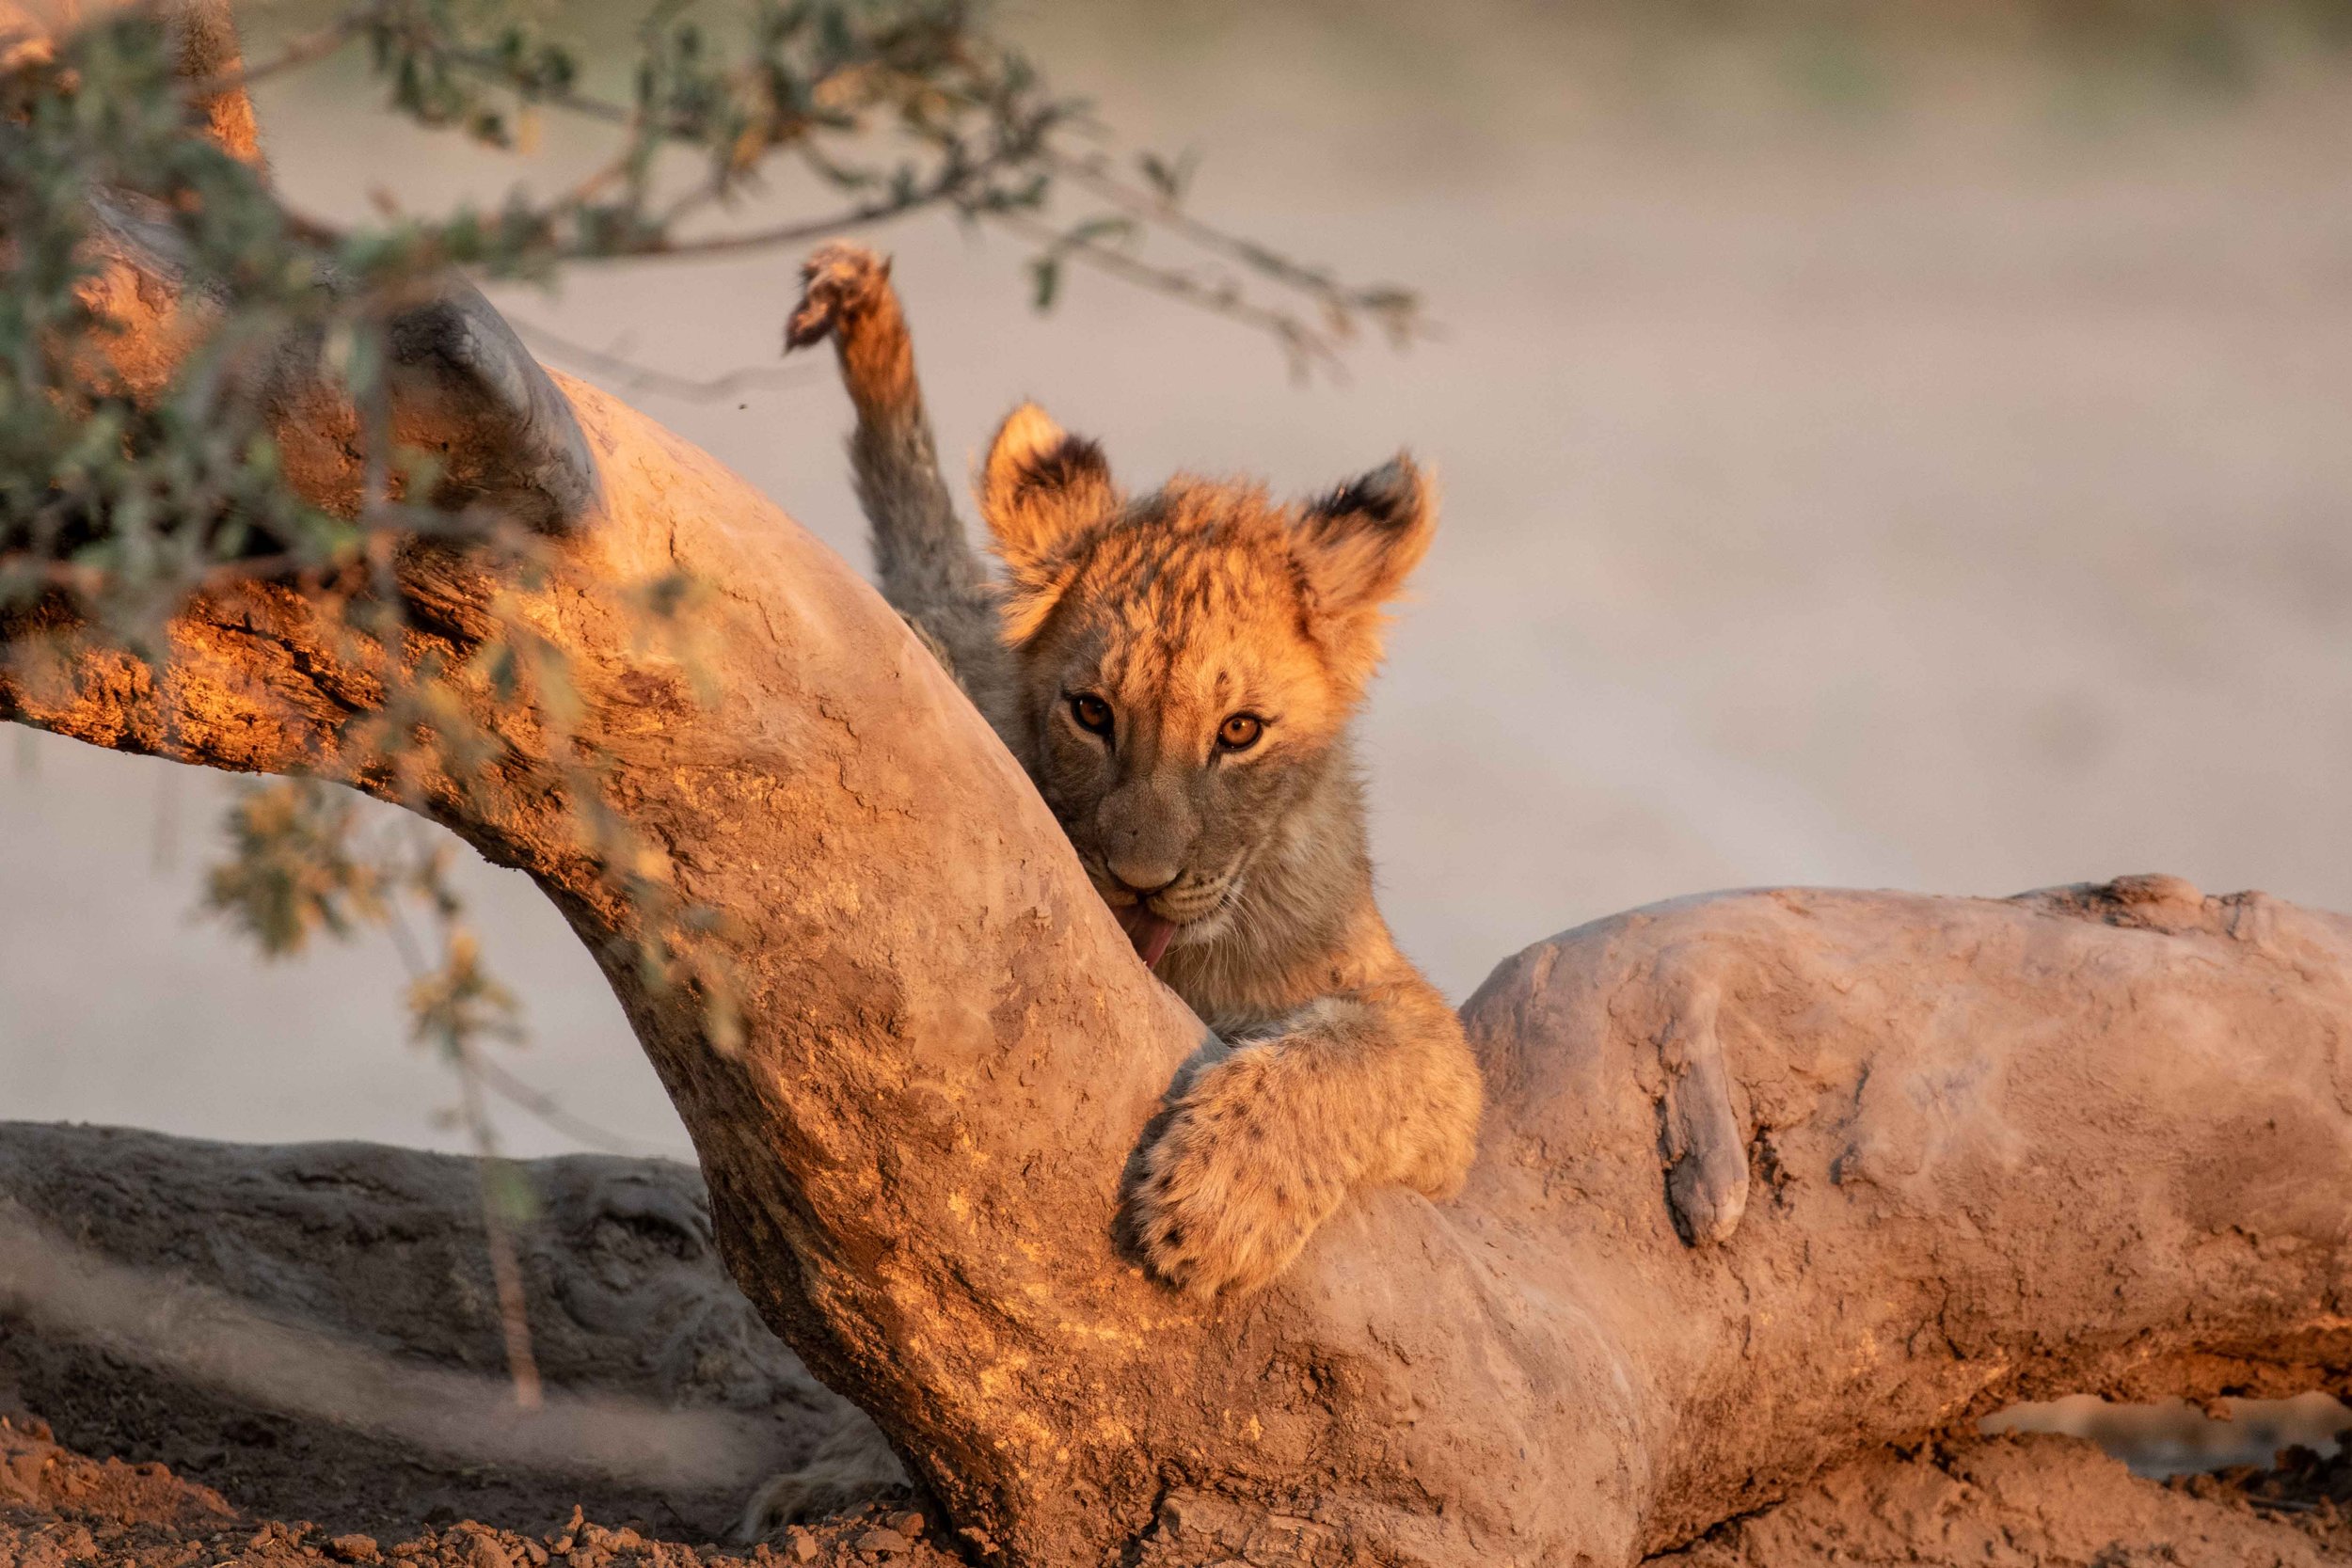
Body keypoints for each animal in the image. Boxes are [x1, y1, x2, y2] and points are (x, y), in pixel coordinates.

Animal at [740, 243, 1483, 1534]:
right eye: (1091, 711)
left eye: (1239, 731)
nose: (1139, 883)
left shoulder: (1429, 1056)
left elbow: (1349, 1050)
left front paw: (1213, 1203)